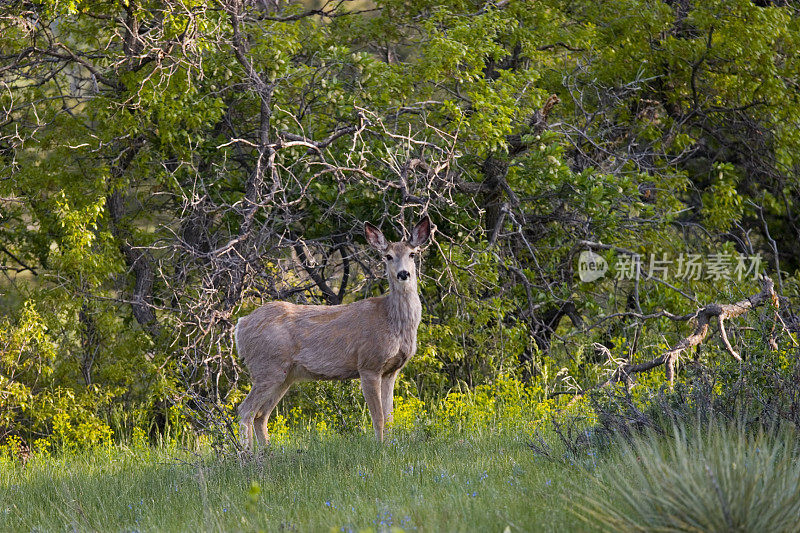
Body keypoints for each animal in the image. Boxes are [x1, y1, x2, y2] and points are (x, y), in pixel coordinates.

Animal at [234, 216, 432, 448]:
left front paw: (391, 445)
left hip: (285, 374)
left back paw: (267, 452)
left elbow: (390, 416)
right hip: (267, 366)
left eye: (413, 253)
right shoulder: (368, 364)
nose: (403, 274)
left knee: (261, 415)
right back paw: (247, 454)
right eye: (388, 256)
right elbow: (379, 417)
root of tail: (241, 325)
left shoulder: (391, 370)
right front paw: (380, 447)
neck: (392, 320)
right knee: (245, 411)